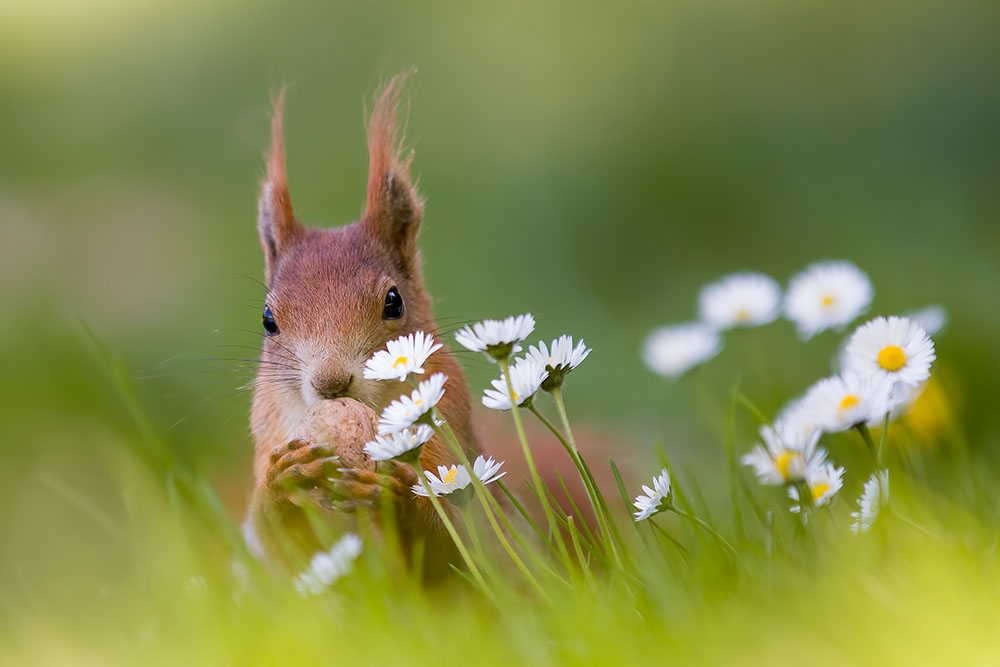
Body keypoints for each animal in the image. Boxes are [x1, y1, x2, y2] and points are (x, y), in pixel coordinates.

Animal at [244, 74, 474, 576]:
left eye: (394, 302)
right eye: (268, 320)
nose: (331, 383)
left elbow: (457, 547)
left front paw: (396, 497)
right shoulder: (270, 432)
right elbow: (286, 552)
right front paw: (283, 483)